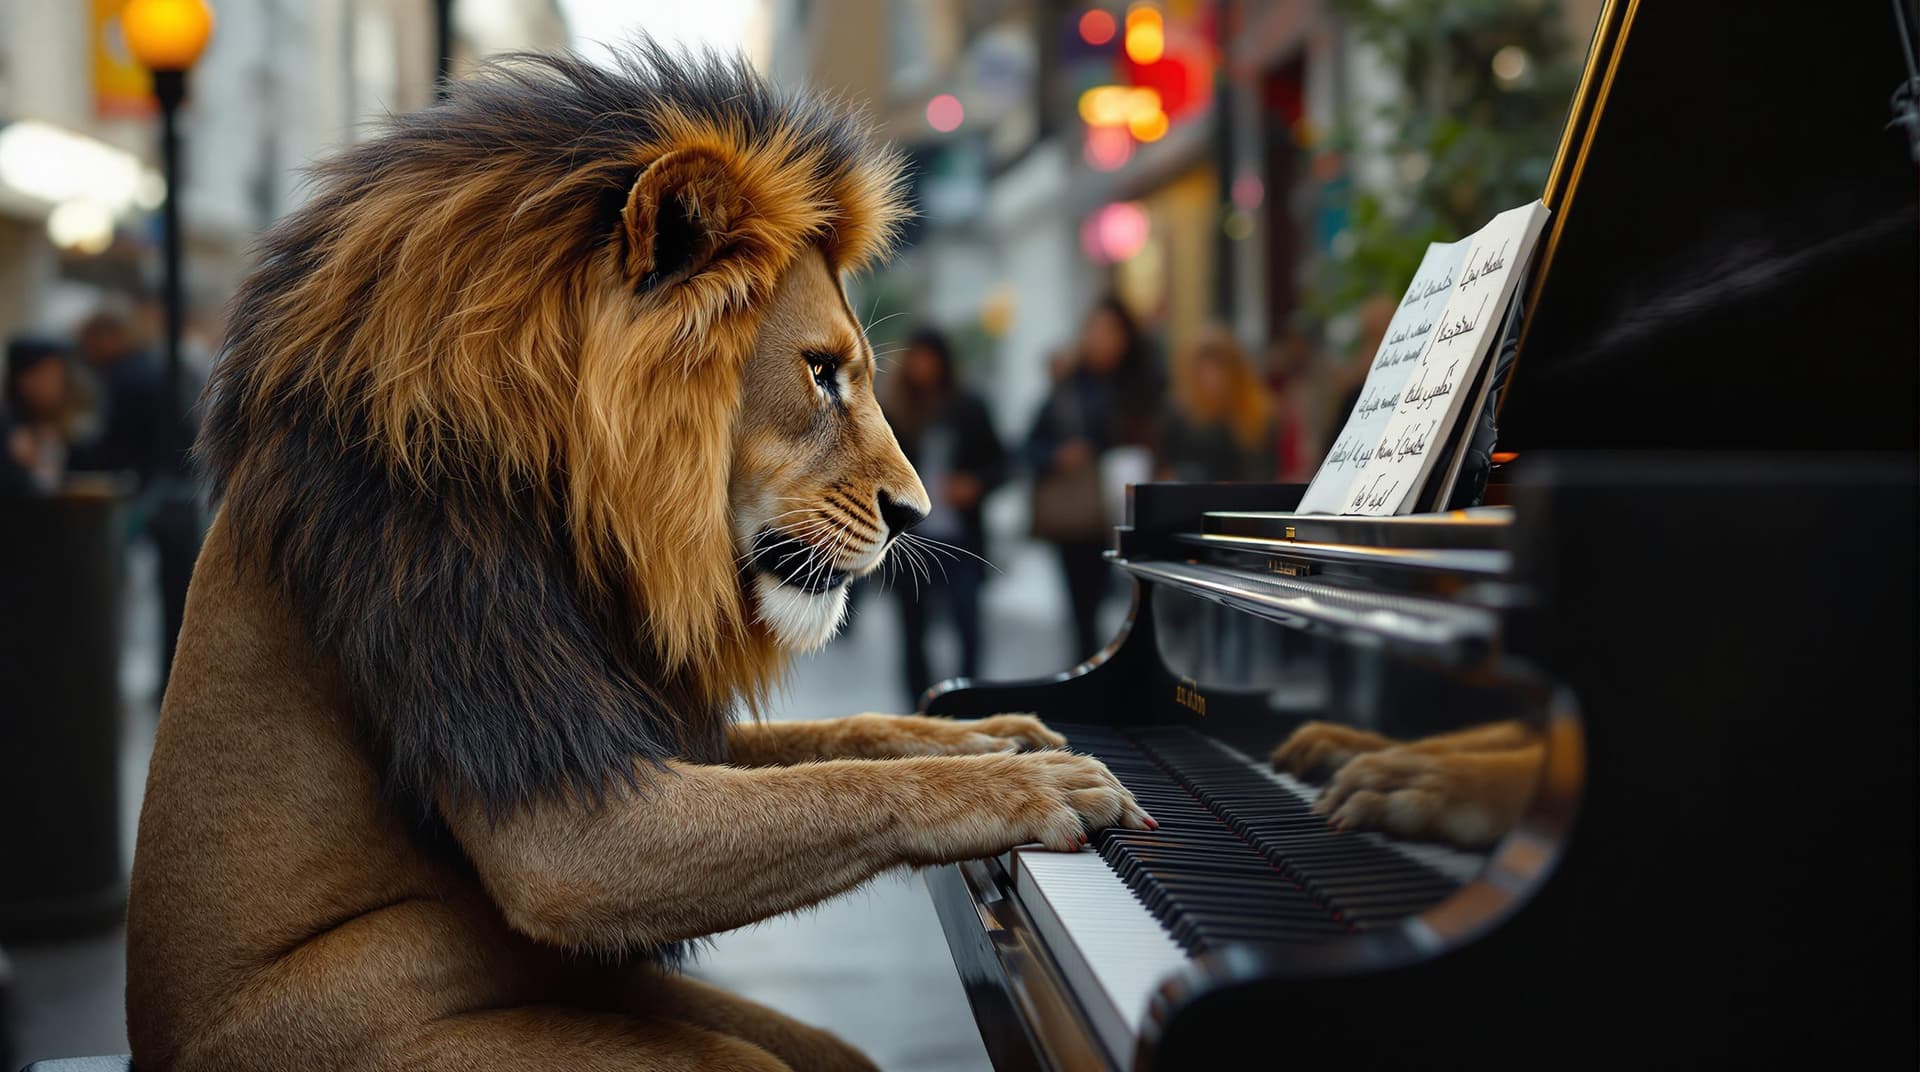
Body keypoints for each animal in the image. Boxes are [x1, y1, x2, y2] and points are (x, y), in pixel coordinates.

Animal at [126, 45, 1149, 1071]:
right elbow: (839, 786)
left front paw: (995, 734)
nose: (915, 513)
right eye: (821, 372)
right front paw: (1027, 781)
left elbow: (849, 740)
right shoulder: (533, 763)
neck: (563, 475)